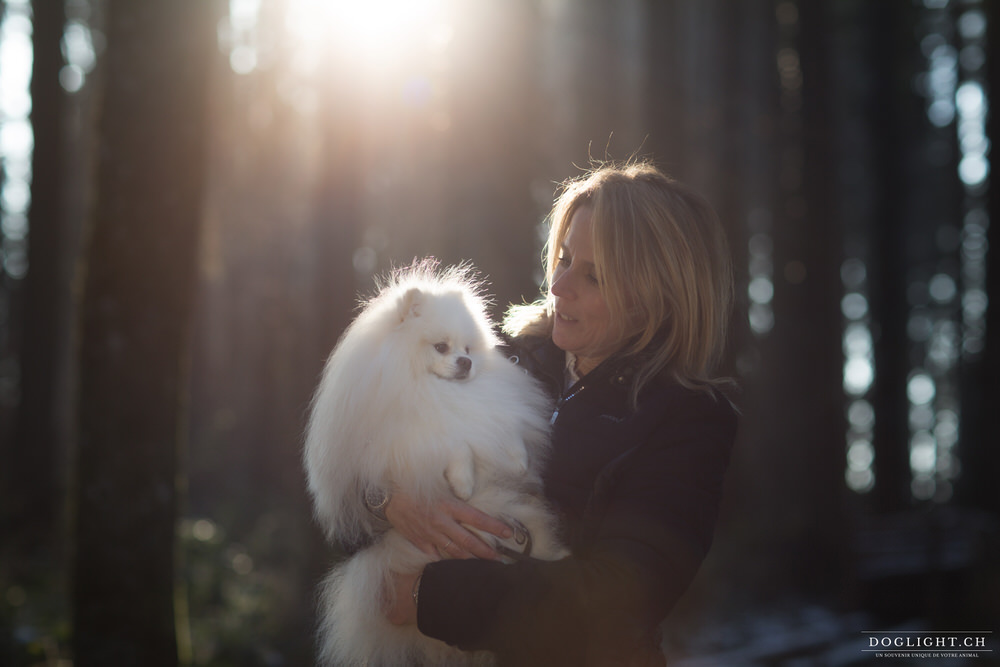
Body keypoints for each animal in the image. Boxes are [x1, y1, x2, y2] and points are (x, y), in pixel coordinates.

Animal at [304, 262, 568, 667]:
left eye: (467, 349)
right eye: (441, 347)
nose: (466, 362)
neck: (436, 390)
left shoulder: (491, 411)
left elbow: (502, 430)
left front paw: (519, 463)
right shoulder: (410, 436)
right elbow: (454, 445)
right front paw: (463, 485)